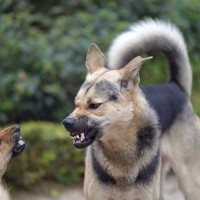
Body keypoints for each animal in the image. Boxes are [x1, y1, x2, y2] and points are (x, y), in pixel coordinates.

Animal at [63, 18, 200, 200]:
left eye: (94, 105)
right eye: (76, 103)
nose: (66, 122)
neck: (120, 147)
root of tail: (175, 86)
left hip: (188, 180)